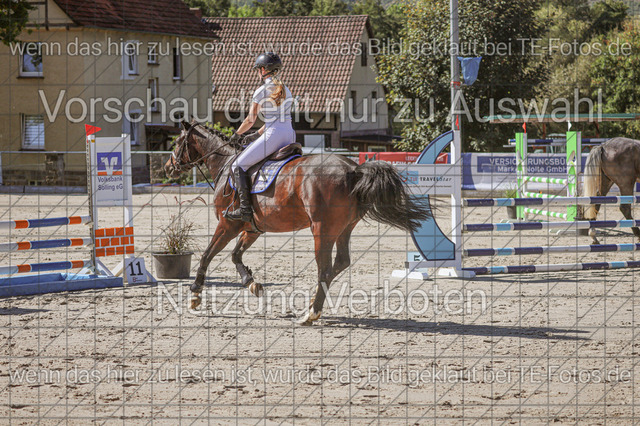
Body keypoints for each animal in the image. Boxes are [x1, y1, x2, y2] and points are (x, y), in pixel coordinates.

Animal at [164, 120, 431, 325]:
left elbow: (206, 255)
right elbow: (235, 255)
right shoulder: (252, 229)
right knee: (340, 262)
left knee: (325, 268)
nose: (168, 168)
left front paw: (195, 295)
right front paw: (252, 284)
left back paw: (311, 313)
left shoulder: (227, 225)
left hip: (321, 229)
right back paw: (313, 304)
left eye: (177, 143)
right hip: (344, 228)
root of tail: (353, 169)